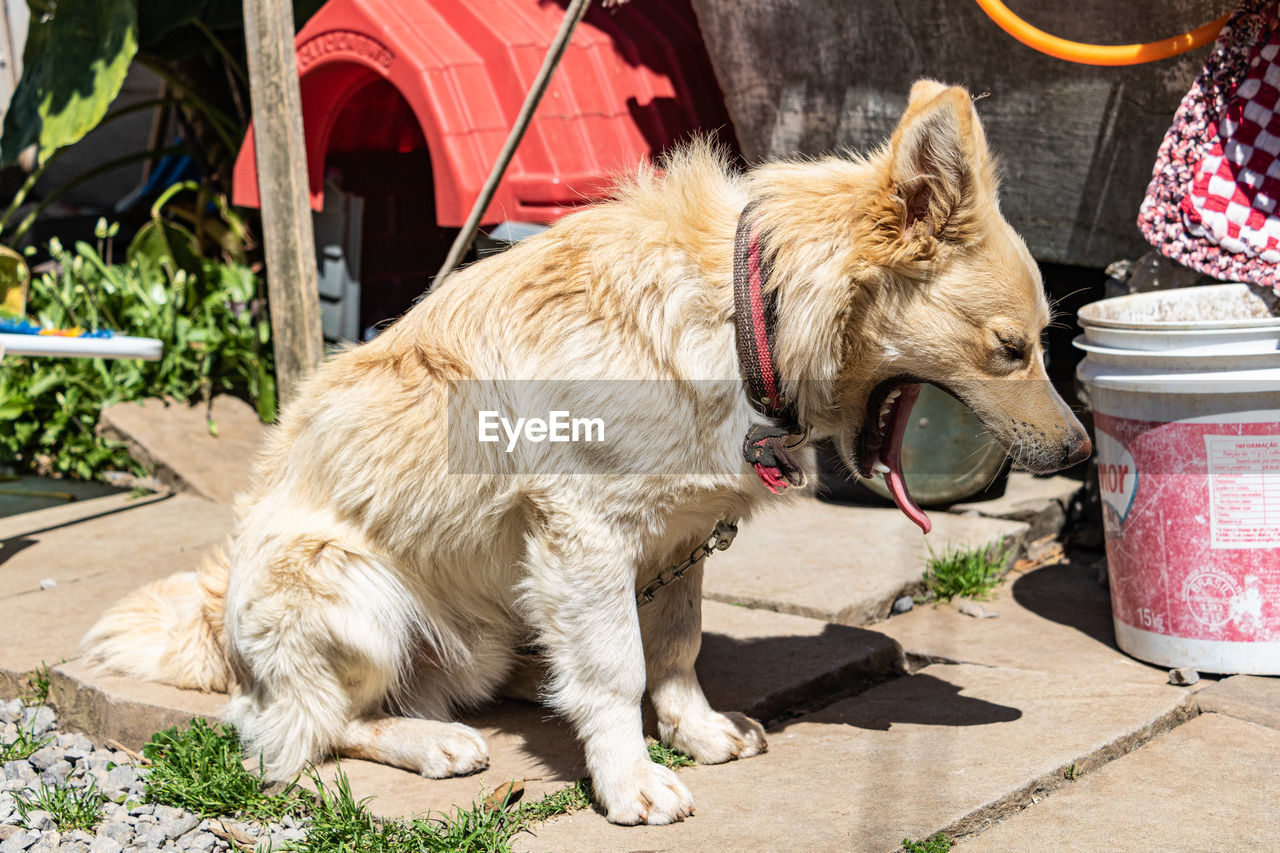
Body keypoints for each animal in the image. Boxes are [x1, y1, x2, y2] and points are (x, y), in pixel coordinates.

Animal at [85, 81, 1090, 824]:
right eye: (1011, 349)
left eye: (1046, 339)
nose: (1081, 445)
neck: (746, 314)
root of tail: (217, 625)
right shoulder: (587, 533)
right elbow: (616, 666)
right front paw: (630, 777)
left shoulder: (683, 536)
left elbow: (674, 648)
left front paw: (692, 731)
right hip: (350, 589)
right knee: (306, 727)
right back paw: (427, 739)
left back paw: (528, 685)